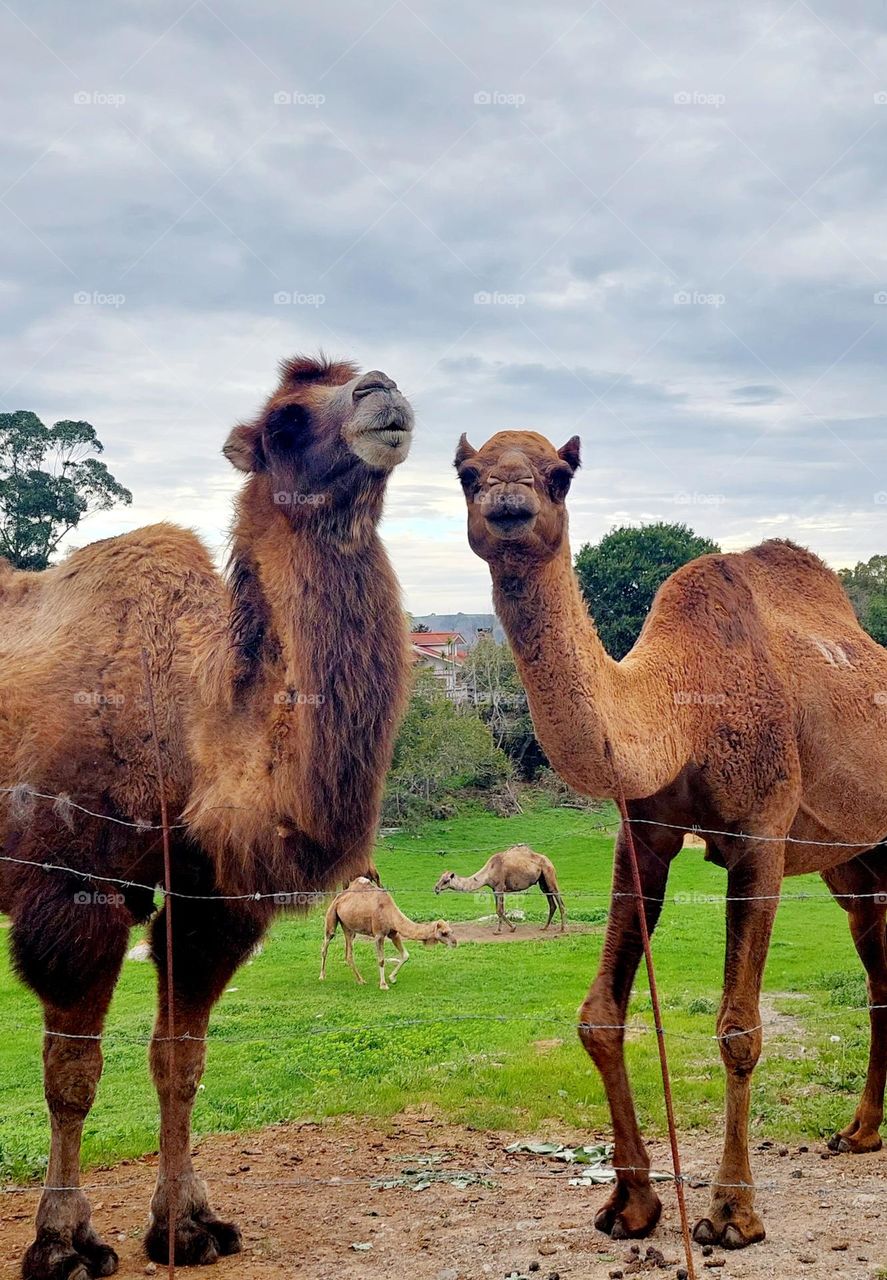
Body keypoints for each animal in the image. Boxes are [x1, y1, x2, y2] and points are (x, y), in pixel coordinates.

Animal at [0, 355, 415, 1279]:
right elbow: (71, 1076)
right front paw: (63, 1242)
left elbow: (179, 1060)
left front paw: (188, 1226)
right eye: (286, 422)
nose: (383, 392)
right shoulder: (68, 894)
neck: (187, 728)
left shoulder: (208, 899)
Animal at [320, 882, 457, 989]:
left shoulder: (393, 933)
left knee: (348, 953)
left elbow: (406, 955)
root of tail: (339, 896)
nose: (455, 943)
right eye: (444, 933)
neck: (389, 912)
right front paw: (383, 984)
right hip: (331, 915)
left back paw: (360, 980)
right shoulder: (378, 935)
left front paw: (392, 978)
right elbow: (381, 960)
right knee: (326, 943)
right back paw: (322, 976)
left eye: (451, 931)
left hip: (348, 926)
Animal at [434, 844, 565, 932]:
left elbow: (500, 910)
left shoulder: (500, 887)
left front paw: (507, 929)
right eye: (440, 878)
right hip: (542, 881)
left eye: (446, 881)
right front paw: (504, 929)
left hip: (549, 874)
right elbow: (498, 910)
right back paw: (544, 927)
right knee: (551, 903)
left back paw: (562, 929)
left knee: (558, 898)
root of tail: (549, 861)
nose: (436, 888)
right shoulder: (494, 890)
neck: (488, 872)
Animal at [455, 428, 887, 1252]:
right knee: (878, 965)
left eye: (559, 474)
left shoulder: (761, 836)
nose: (508, 505)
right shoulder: (644, 838)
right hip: (855, 861)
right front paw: (629, 1204)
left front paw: (732, 1214)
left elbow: (739, 1030)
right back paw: (858, 1133)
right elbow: (599, 1013)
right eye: (466, 473)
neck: (682, 706)